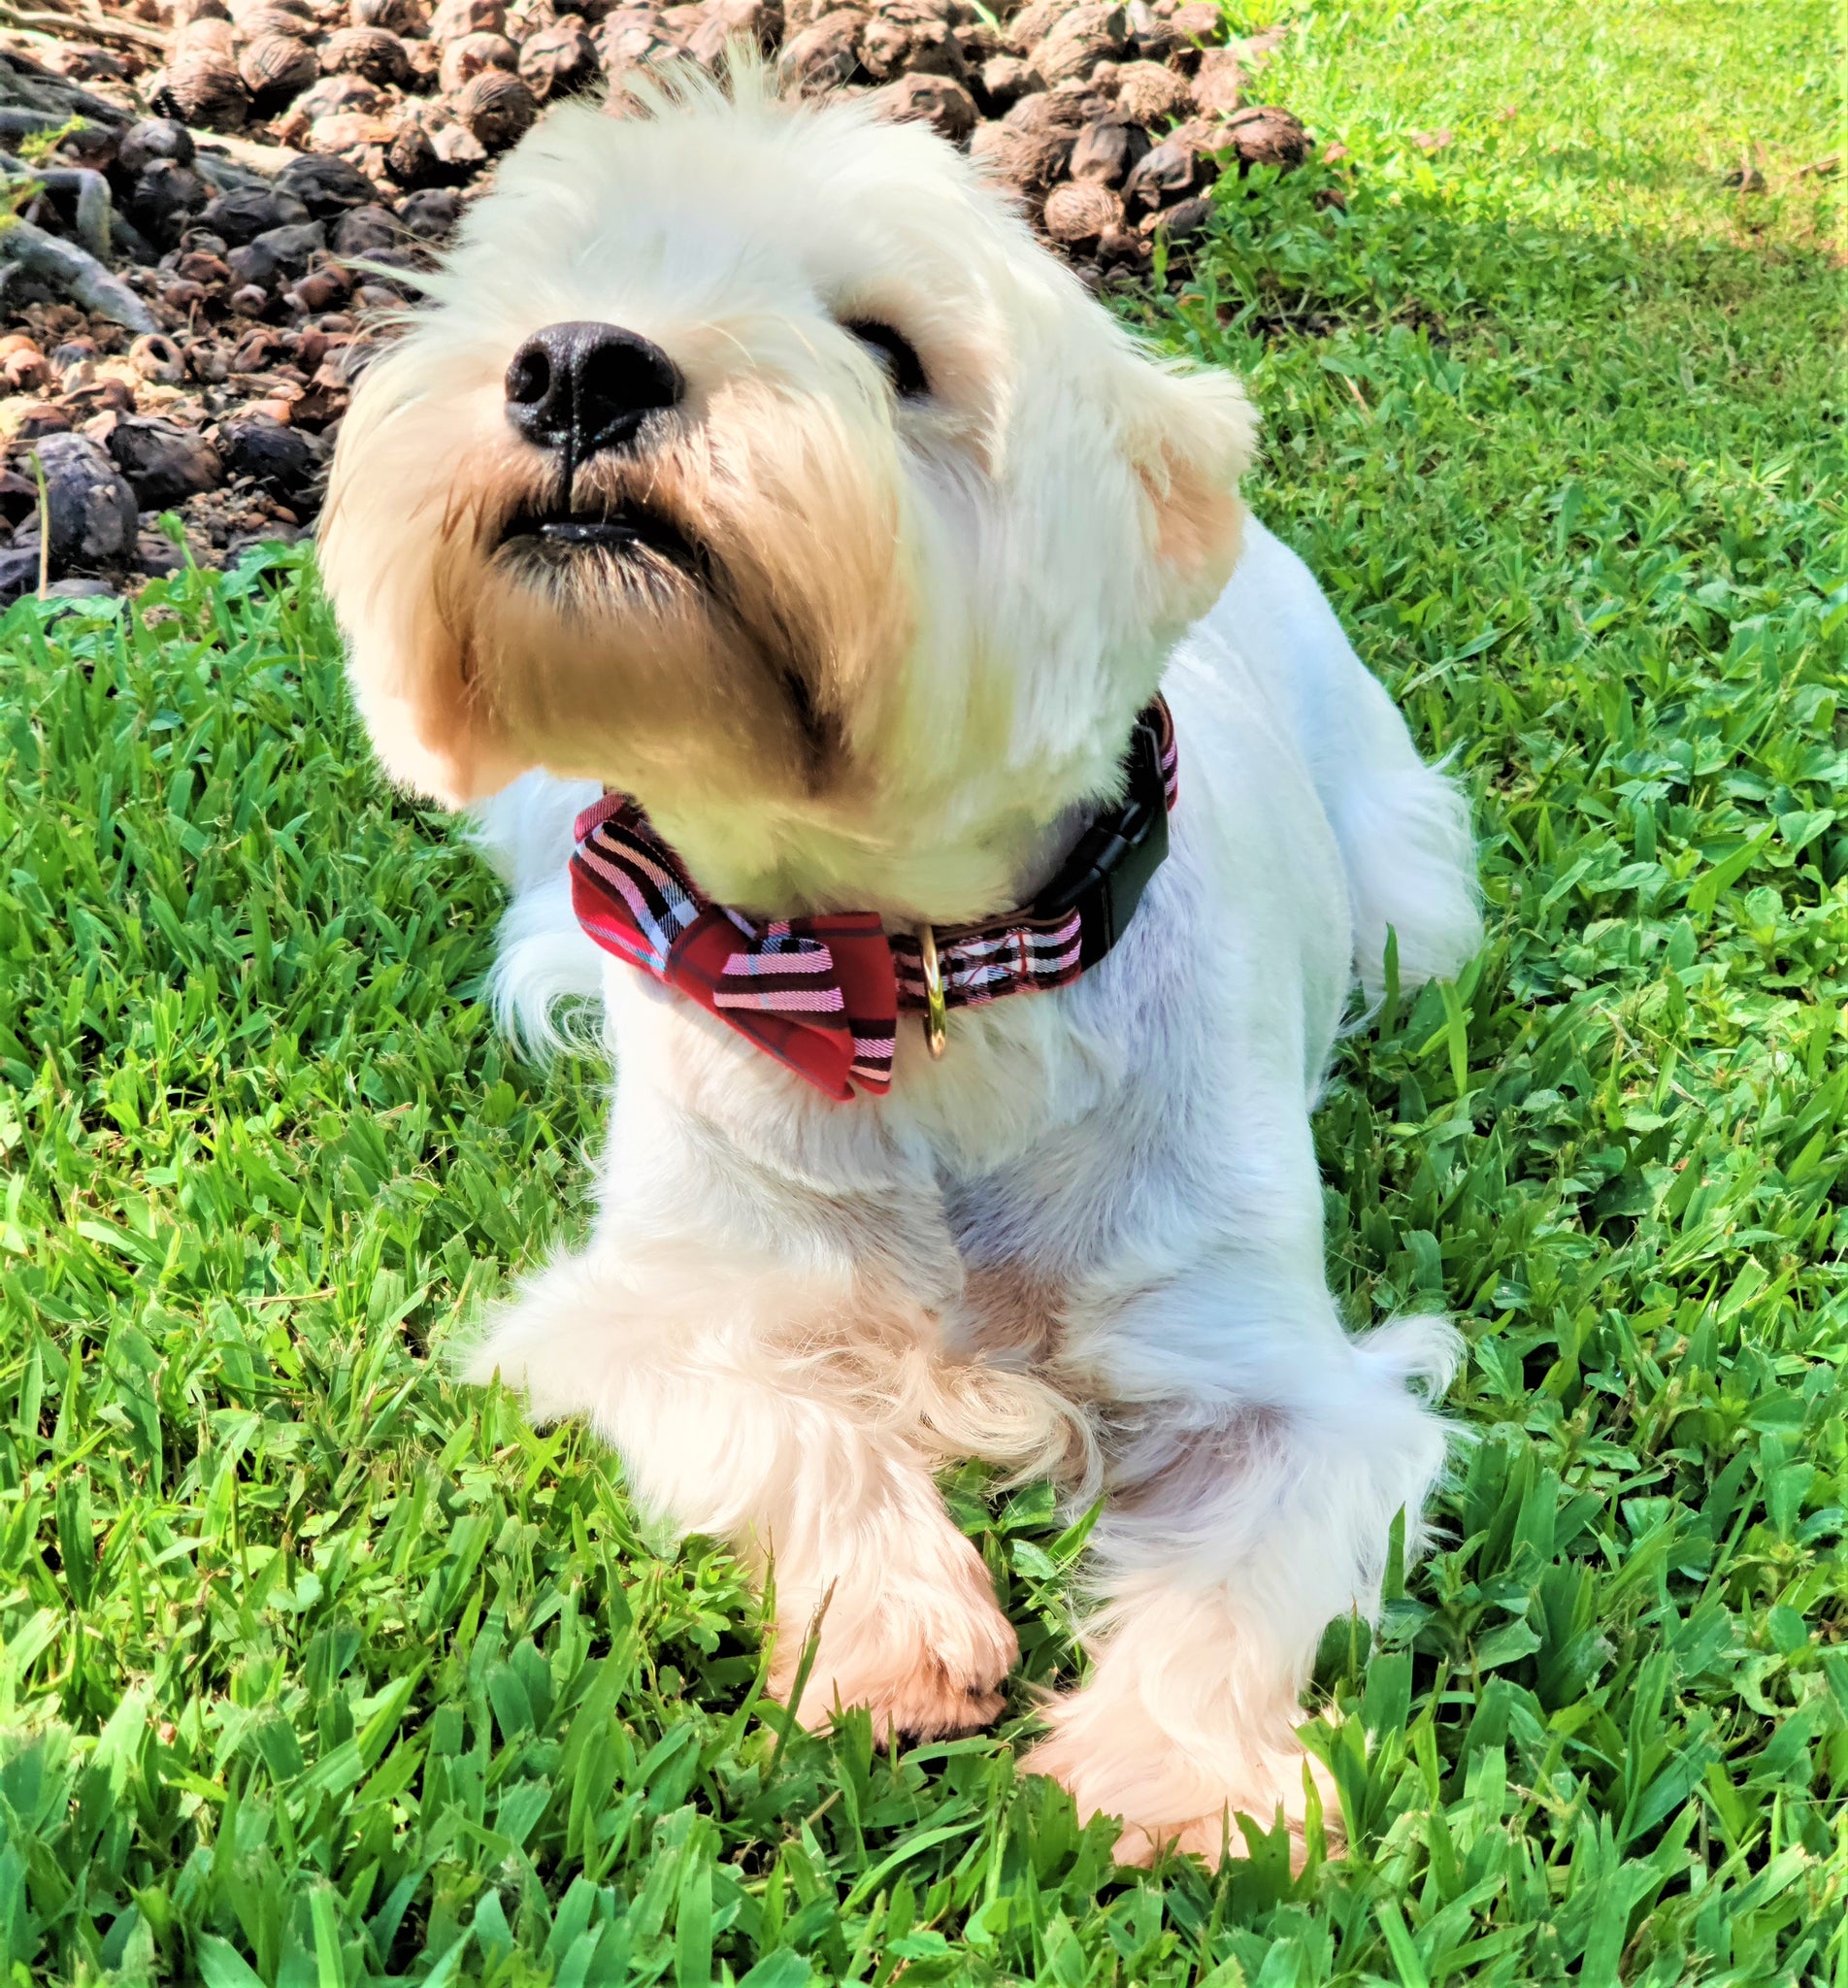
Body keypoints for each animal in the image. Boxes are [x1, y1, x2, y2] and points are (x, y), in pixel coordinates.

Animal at [319, 62, 1486, 1860]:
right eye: (531, 289)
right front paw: (893, 1634)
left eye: (889, 348)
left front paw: (1166, 1775)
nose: (576, 362)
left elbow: (1243, 1559)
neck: (914, 978)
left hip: (1415, 895)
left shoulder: (1292, 1380)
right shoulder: (637, 1307)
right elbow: (781, 1407)